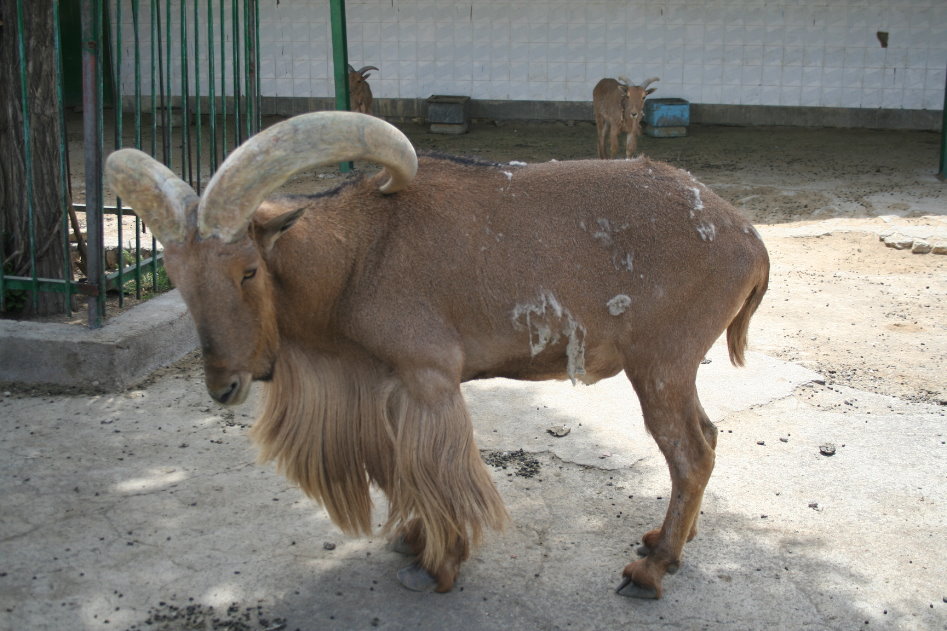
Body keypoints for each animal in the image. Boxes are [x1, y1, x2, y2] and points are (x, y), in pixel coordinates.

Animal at [105, 111, 769, 599]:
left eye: (247, 269)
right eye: (177, 278)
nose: (225, 384)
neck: (360, 254)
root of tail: (746, 237)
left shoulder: (428, 376)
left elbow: (435, 467)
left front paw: (438, 565)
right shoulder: (387, 383)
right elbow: (402, 465)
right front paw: (413, 540)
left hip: (660, 365)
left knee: (691, 453)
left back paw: (649, 572)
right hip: (673, 370)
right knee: (707, 437)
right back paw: (662, 543)